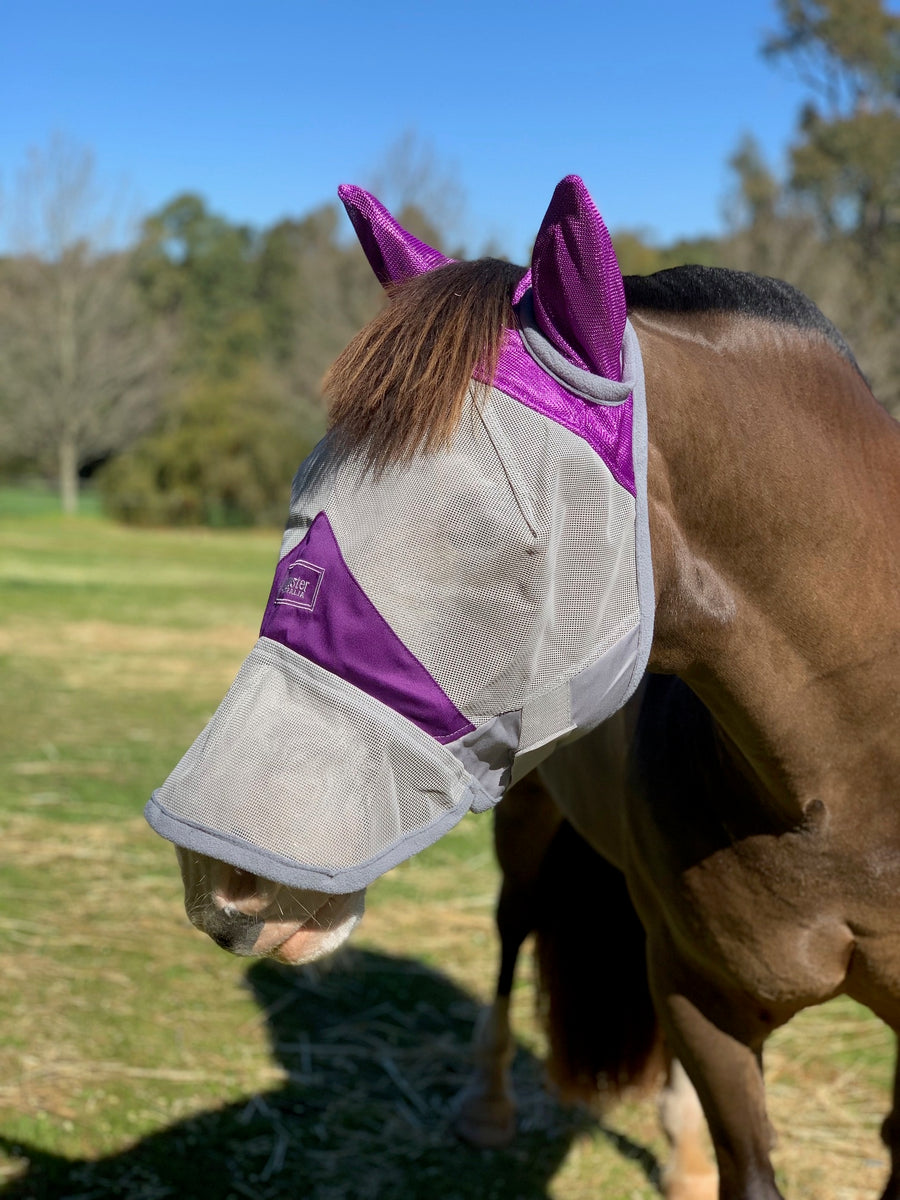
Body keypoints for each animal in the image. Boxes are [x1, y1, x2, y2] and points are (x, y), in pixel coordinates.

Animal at [150, 177, 900, 1200]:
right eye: (305, 495)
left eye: (489, 537)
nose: (219, 880)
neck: (846, 777)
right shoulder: (701, 1001)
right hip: (532, 825)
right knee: (514, 928)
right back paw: (489, 1105)